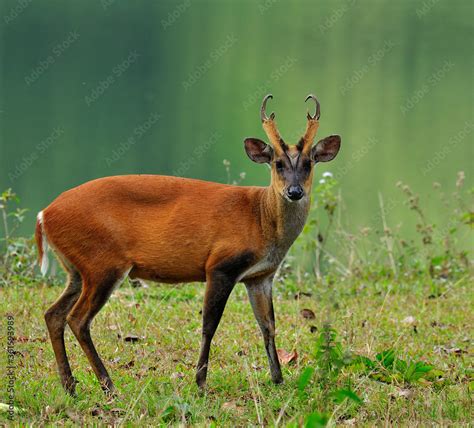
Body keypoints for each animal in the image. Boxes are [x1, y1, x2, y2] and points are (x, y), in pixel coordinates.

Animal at [37, 94, 340, 394]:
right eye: (278, 163)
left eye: (308, 164)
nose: (294, 191)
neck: (261, 218)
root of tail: (44, 215)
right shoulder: (220, 265)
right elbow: (209, 325)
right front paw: (201, 381)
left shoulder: (260, 276)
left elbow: (268, 325)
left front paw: (278, 378)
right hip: (102, 263)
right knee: (77, 319)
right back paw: (108, 385)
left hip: (78, 269)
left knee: (53, 314)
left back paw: (69, 385)